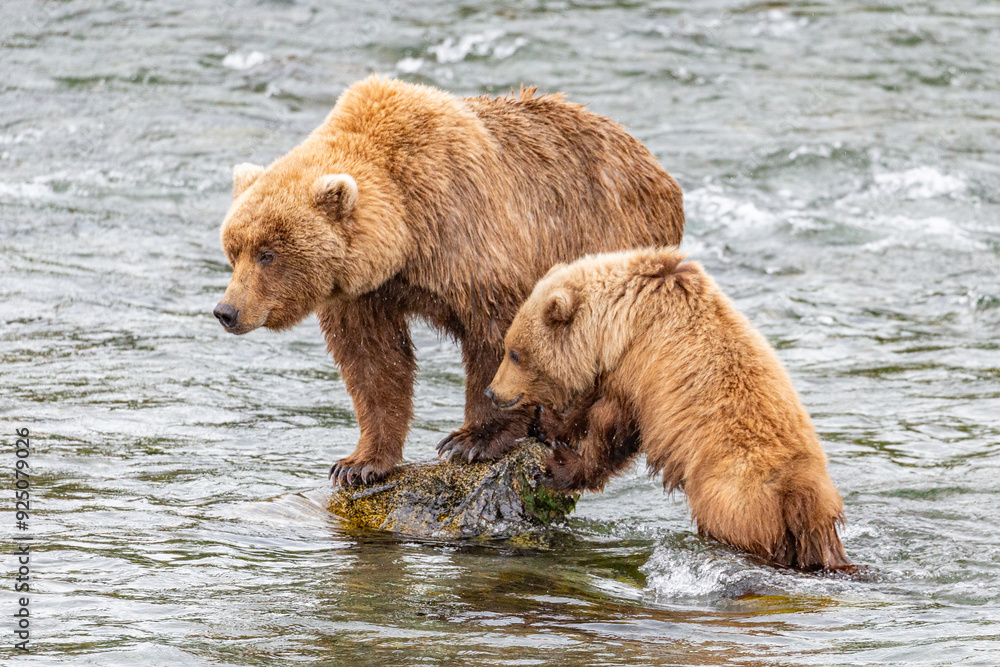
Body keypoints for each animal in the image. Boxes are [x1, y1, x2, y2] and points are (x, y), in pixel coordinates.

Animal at [214, 76, 684, 486]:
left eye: (268, 253)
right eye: (233, 250)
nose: (226, 311)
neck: (405, 236)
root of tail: (659, 170)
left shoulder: (470, 236)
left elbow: (498, 338)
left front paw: (471, 440)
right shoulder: (363, 293)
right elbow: (373, 362)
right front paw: (359, 463)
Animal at [486, 248, 850, 571]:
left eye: (514, 353)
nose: (491, 392)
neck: (616, 324)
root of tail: (800, 493)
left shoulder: (638, 369)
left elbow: (610, 428)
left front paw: (556, 465)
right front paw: (547, 423)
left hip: (733, 499)